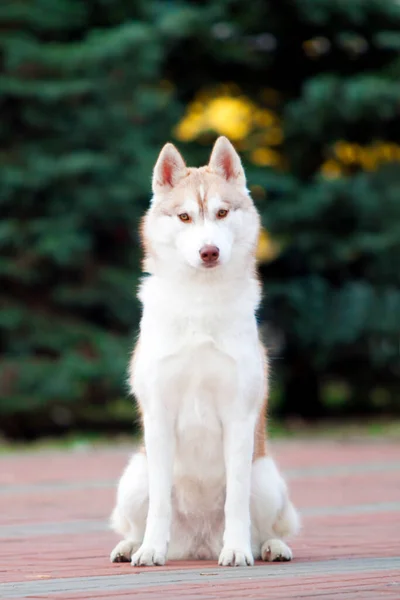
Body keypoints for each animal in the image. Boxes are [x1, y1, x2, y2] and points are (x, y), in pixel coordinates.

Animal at [108, 136, 298, 568]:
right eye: (184, 217)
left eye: (222, 212)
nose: (208, 251)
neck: (200, 303)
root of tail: (198, 543)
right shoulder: (159, 417)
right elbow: (159, 505)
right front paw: (149, 550)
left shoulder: (239, 417)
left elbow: (236, 504)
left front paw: (237, 550)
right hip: (133, 477)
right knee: (135, 520)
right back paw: (131, 547)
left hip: (267, 478)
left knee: (267, 525)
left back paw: (268, 547)